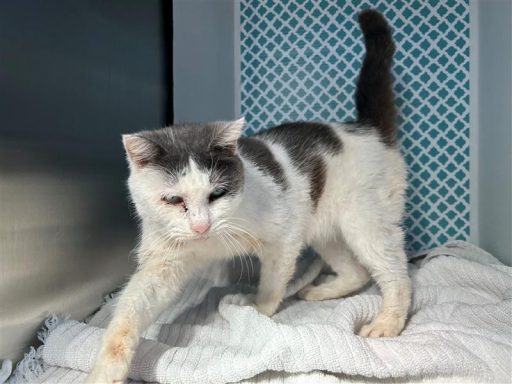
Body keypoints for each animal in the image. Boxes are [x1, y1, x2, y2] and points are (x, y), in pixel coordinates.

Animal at [87, 9, 412, 384]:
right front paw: (106, 370)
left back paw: (387, 322)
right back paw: (322, 290)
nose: (201, 227)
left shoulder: (284, 237)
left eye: (217, 194)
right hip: (323, 228)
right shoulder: (162, 264)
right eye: (173, 200)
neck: (211, 241)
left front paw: (258, 308)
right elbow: (129, 312)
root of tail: (366, 128)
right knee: (357, 272)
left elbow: (272, 281)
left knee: (396, 274)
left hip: (364, 221)